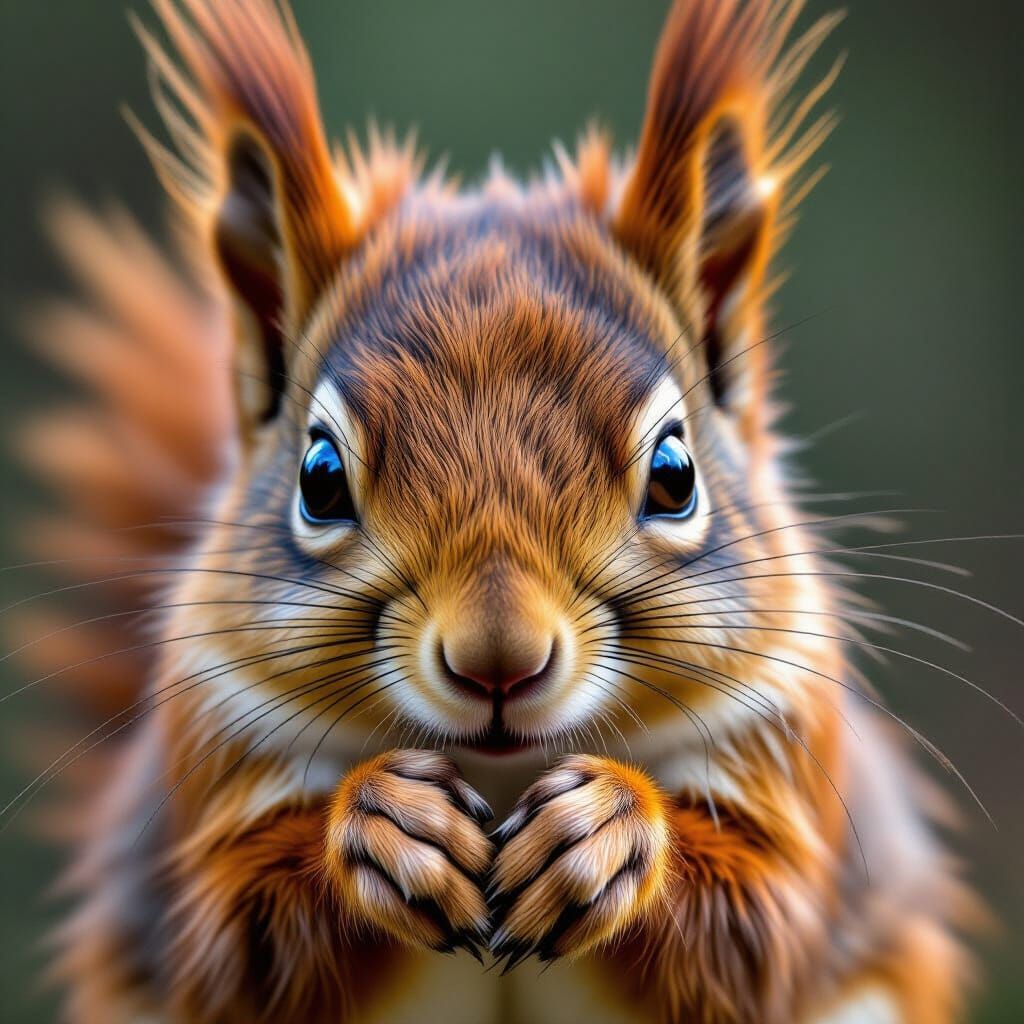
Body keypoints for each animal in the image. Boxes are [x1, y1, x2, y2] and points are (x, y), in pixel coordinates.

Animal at [11, 1, 980, 1022]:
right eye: (319, 477)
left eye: (675, 474)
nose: (498, 661)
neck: (503, 771)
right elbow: (238, 935)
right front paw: (384, 824)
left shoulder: (798, 793)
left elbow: (761, 925)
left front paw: (607, 830)